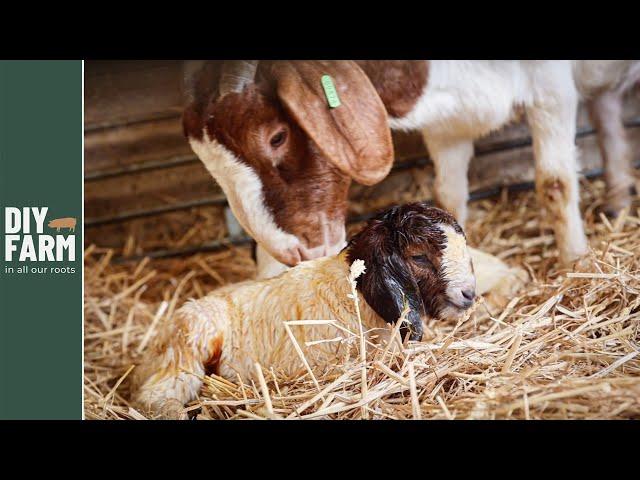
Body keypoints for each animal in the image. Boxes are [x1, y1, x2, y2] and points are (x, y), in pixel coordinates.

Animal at [182, 60, 636, 278]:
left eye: (276, 137)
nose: (293, 253)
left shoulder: (550, 87)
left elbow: (555, 184)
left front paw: (575, 264)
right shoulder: (449, 121)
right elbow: (448, 196)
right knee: (607, 109)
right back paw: (618, 199)